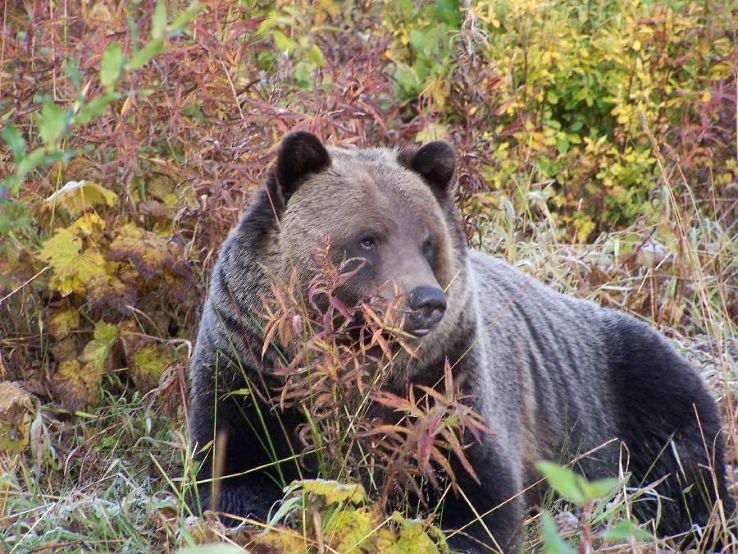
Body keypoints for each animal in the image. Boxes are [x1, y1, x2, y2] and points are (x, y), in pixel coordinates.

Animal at [188, 131, 735, 552]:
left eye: (428, 241)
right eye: (367, 239)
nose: (426, 301)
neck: (357, 364)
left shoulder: (448, 387)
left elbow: (478, 496)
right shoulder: (250, 369)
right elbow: (231, 473)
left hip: (624, 386)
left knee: (681, 467)